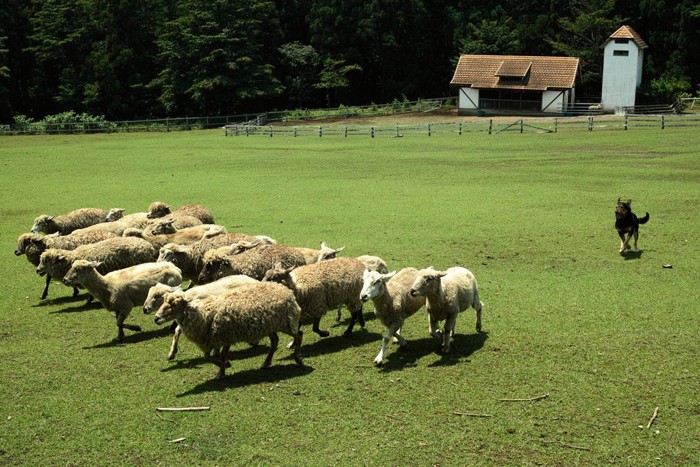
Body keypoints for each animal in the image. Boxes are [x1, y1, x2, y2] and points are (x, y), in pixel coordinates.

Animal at [153, 282, 304, 380]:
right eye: (163, 302)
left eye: (174, 304)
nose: (156, 318)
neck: (203, 313)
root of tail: (286, 289)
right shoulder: (212, 340)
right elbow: (208, 357)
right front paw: (225, 365)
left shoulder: (225, 337)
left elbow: (221, 355)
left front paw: (221, 372)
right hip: (270, 325)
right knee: (275, 341)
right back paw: (266, 363)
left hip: (285, 322)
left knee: (298, 334)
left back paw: (298, 358)